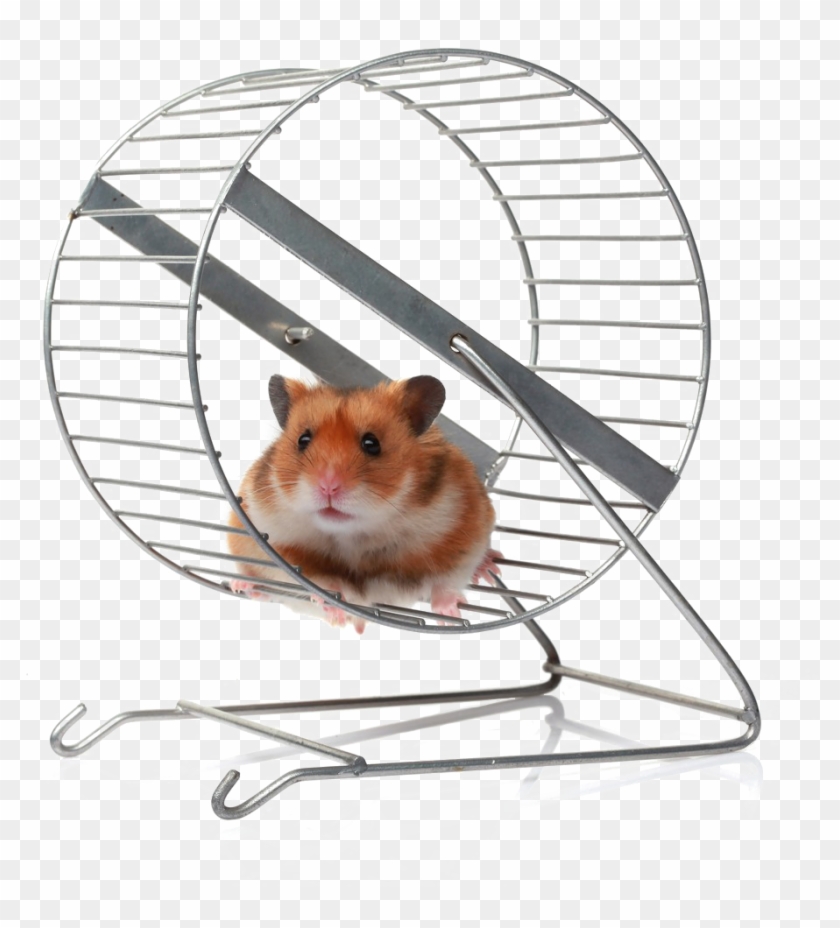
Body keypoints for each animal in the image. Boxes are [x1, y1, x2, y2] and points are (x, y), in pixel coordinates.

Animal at [227, 374, 501, 633]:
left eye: (372, 443)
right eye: (302, 440)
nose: (328, 486)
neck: (355, 534)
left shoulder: (462, 532)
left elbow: (446, 581)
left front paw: (450, 613)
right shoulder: (278, 545)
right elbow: (319, 582)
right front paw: (333, 607)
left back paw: (488, 568)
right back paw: (241, 585)